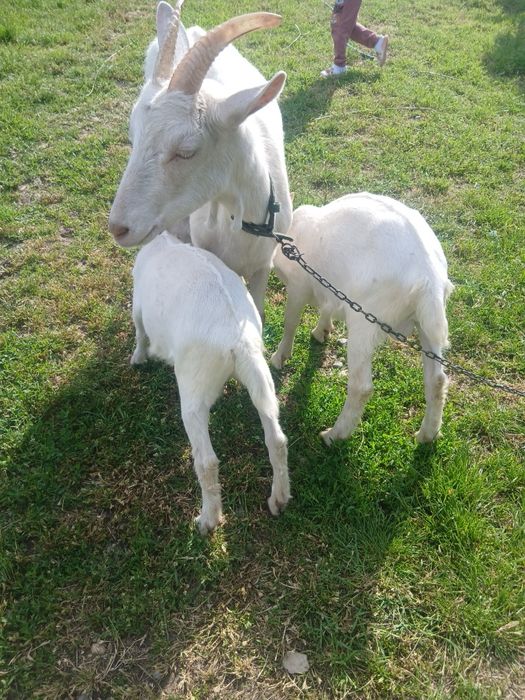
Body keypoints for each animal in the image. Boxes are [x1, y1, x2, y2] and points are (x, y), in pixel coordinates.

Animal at [131, 232, 290, 534]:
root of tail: (239, 342)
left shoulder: (137, 305)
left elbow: (140, 333)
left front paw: (138, 358)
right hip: (262, 380)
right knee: (276, 438)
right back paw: (279, 498)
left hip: (194, 387)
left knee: (206, 461)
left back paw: (208, 520)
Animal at [271, 193, 454, 445]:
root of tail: (429, 279)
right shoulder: (334, 289)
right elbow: (326, 309)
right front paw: (322, 331)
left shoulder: (299, 286)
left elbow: (290, 322)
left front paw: (279, 357)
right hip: (428, 325)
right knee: (436, 380)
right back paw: (427, 435)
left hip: (365, 320)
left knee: (361, 387)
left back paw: (334, 435)